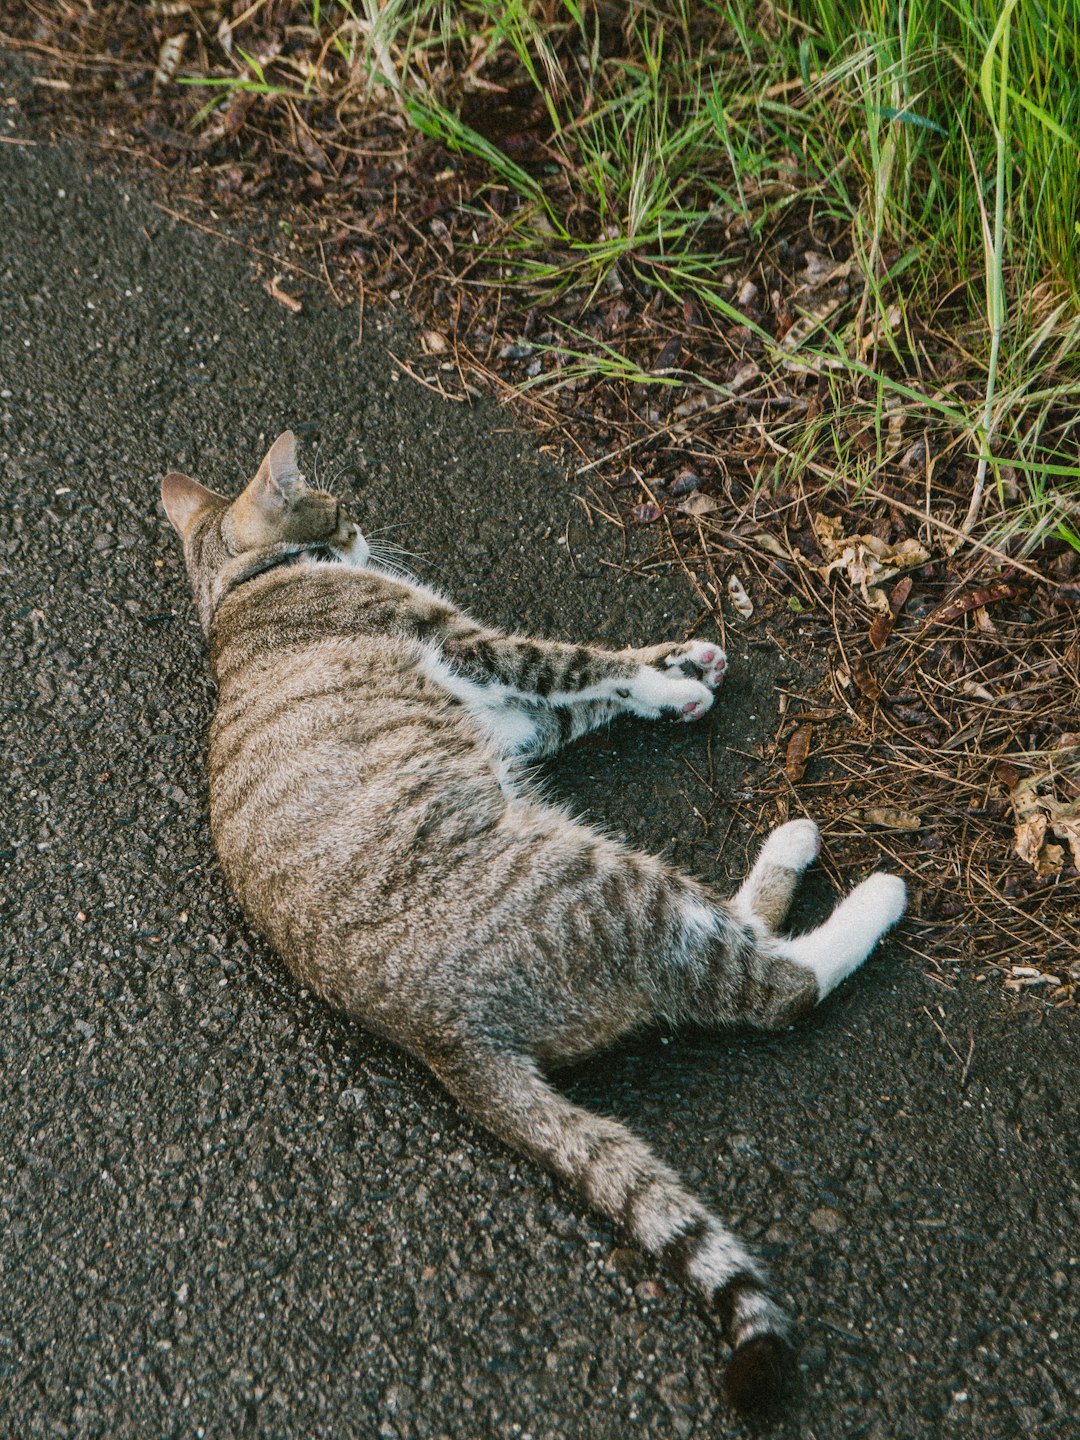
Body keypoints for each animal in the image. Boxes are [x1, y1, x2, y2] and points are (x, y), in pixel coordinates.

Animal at [158, 429, 904, 1416]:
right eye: (337, 506)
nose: (363, 528)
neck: (237, 594)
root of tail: (448, 1042)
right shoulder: (474, 648)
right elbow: (582, 664)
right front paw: (665, 682)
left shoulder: (514, 721)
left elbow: (586, 695)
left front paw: (685, 667)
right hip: (616, 883)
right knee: (773, 986)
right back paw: (860, 885)